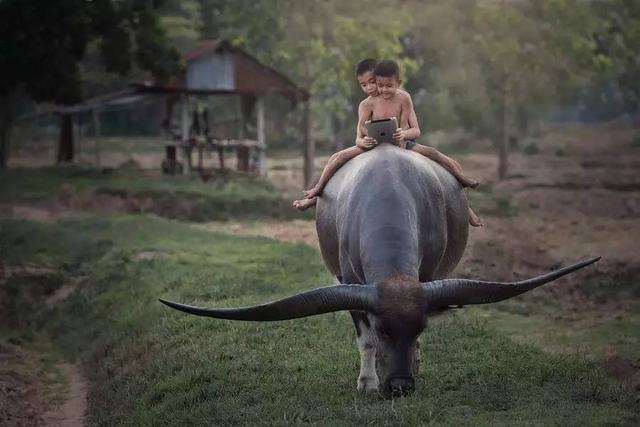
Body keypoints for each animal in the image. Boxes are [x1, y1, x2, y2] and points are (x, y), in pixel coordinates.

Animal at [160, 143, 600, 398]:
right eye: (386, 330)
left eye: (419, 329)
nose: (401, 387)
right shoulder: (351, 285)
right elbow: (365, 341)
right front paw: (368, 383)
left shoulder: (426, 278)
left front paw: (414, 364)